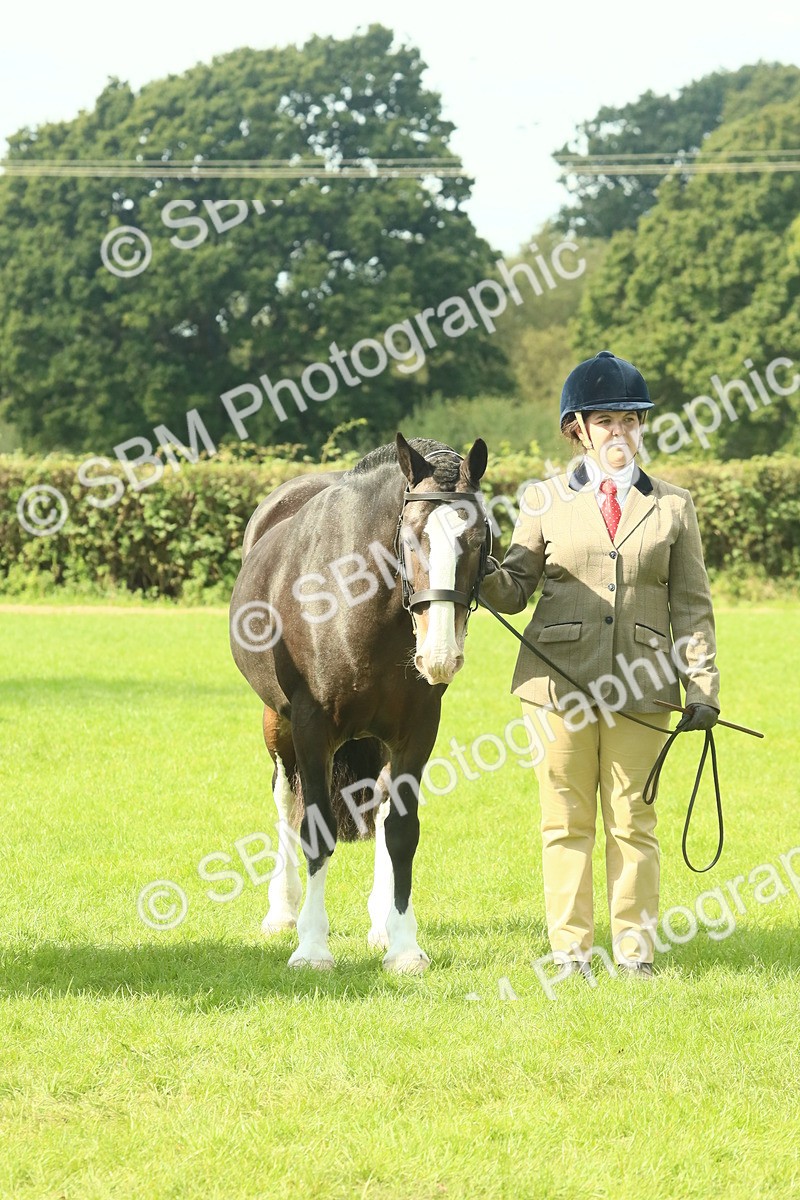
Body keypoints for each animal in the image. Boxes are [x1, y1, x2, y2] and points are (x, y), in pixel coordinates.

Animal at [229, 433, 490, 973]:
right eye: (409, 539)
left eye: (478, 541)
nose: (439, 655)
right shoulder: (311, 727)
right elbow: (315, 828)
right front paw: (312, 946)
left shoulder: (417, 731)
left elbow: (402, 833)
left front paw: (404, 945)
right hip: (277, 724)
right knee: (285, 798)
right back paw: (281, 912)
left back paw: (380, 922)